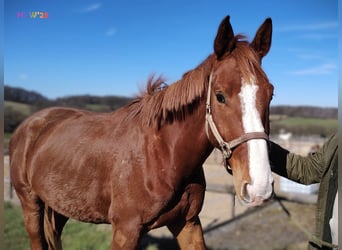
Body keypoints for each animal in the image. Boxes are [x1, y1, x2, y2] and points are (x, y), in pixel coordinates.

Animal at [9, 16, 274, 250]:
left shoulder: (188, 223)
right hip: (30, 204)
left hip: (60, 206)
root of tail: (28, 126)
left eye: (270, 94)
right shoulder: (125, 231)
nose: (259, 187)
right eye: (220, 96)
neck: (163, 155)